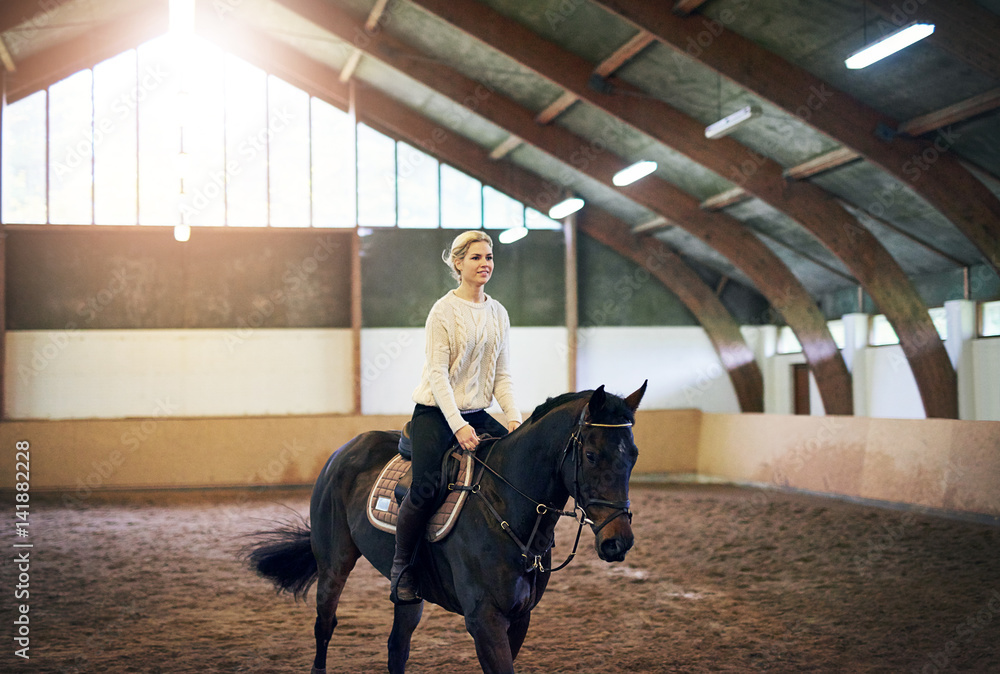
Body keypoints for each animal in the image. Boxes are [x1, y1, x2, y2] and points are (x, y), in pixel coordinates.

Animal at [246, 380, 644, 668]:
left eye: (634, 455)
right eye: (590, 455)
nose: (618, 542)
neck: (508, 506)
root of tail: (343, 451)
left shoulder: (519, 618)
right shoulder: (485, 621)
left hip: (409, 593)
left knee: (397, 646)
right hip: (334, 564)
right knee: (325, 627)